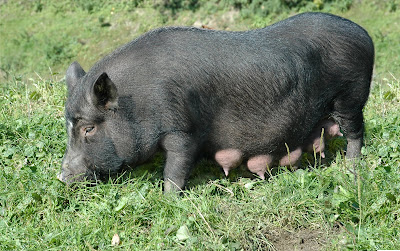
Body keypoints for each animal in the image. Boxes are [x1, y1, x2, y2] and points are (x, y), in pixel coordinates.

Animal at [57, 12, 374, 192]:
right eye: (67, 125)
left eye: (88, 129)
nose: (61, 176)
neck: (138, 102)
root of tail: (363, 33)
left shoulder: (183, 130)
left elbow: (175, 169)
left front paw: (168, 198)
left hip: (351, 98)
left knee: (356, 132)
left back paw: (351, 168)